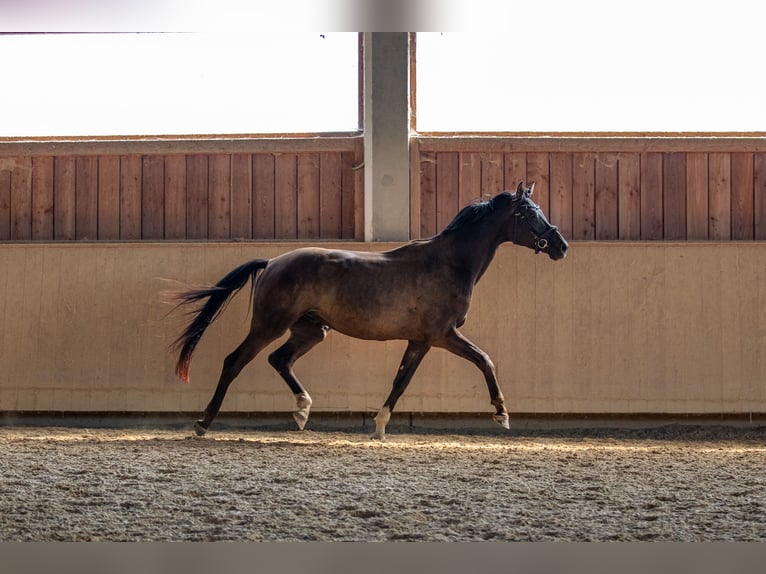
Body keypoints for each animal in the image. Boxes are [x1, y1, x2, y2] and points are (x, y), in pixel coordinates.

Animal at [172, 182, 568, 438]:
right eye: (529, 212)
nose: (560, 245)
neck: (450, 262)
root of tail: (272, 262)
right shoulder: (443, 335)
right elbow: (484, 360)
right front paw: (502, 414)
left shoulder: (421, 340)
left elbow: (401, 380)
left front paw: (379, 426)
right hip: (269, 325)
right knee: (234, 361)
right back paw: (203, 424)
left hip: (310, 329)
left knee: (279, 360)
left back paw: (302, 410)